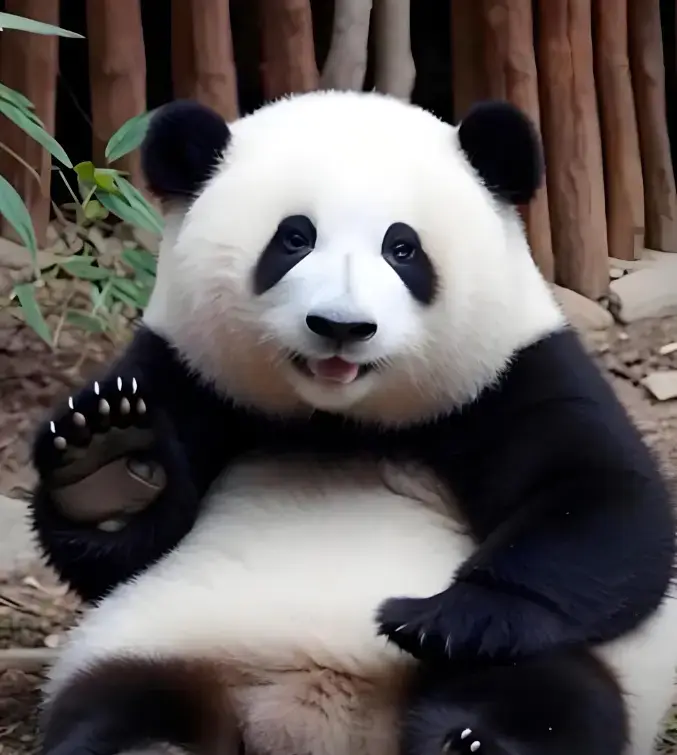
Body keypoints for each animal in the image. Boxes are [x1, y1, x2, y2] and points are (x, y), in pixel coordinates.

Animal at [29, 91, 677, 755]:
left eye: (402, 249)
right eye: (293, 239)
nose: (341, 326)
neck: (340, 420)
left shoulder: (511, 372)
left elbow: (606, 504)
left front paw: (449, 617)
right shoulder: (186, 374)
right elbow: (114, 558)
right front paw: (107, 460)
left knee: (549, 691)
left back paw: (472, 739)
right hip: (153, 640)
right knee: (121, 701)